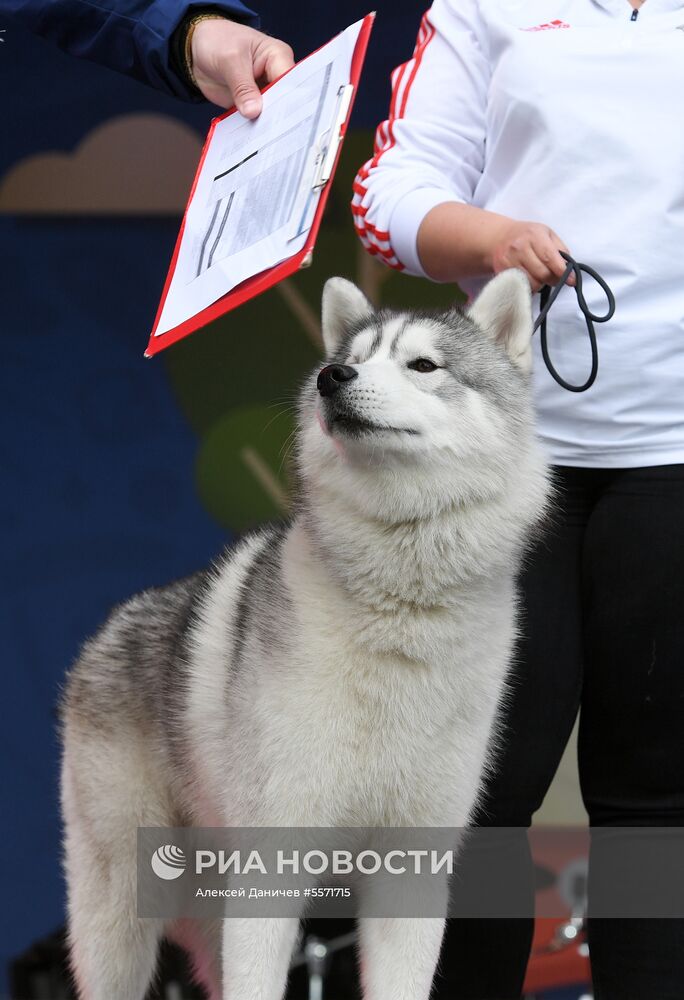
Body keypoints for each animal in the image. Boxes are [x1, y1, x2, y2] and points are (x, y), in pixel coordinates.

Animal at [58, 268, 552, 1000]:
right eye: (352, 357)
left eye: (423, 365)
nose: (333, 375)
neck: (401, 610)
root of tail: (113, 622)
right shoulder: (273, 864)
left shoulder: (412, 871)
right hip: (121, 915)